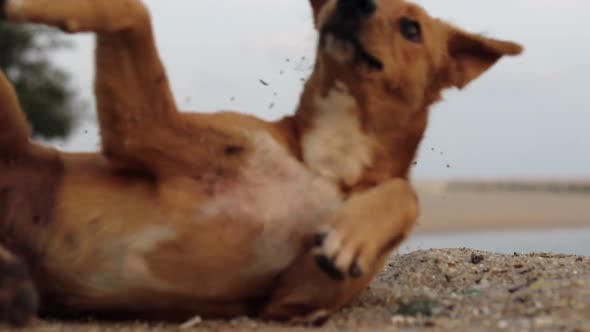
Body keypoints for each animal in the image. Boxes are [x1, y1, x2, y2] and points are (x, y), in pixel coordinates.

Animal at [0, 0, 524, 326]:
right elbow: (131, 11)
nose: (354, 2)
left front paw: (355, 232)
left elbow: (405, 191)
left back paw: (12, 288)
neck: (326, 162)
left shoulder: (293, 301)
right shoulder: (146, 134)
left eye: (411, 28)